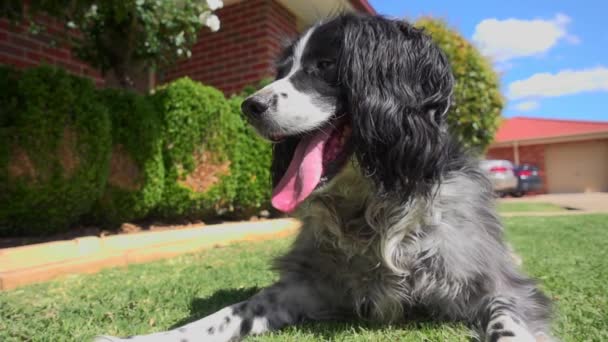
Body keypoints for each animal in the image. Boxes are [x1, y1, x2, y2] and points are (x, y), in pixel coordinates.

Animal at [96, 13, 556, 342]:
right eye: (284, 69)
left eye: (325, 65)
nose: (249, 106)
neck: (370, 203)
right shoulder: (309, 286)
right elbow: (230, 312)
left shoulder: (500, 286)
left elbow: (507, 319)